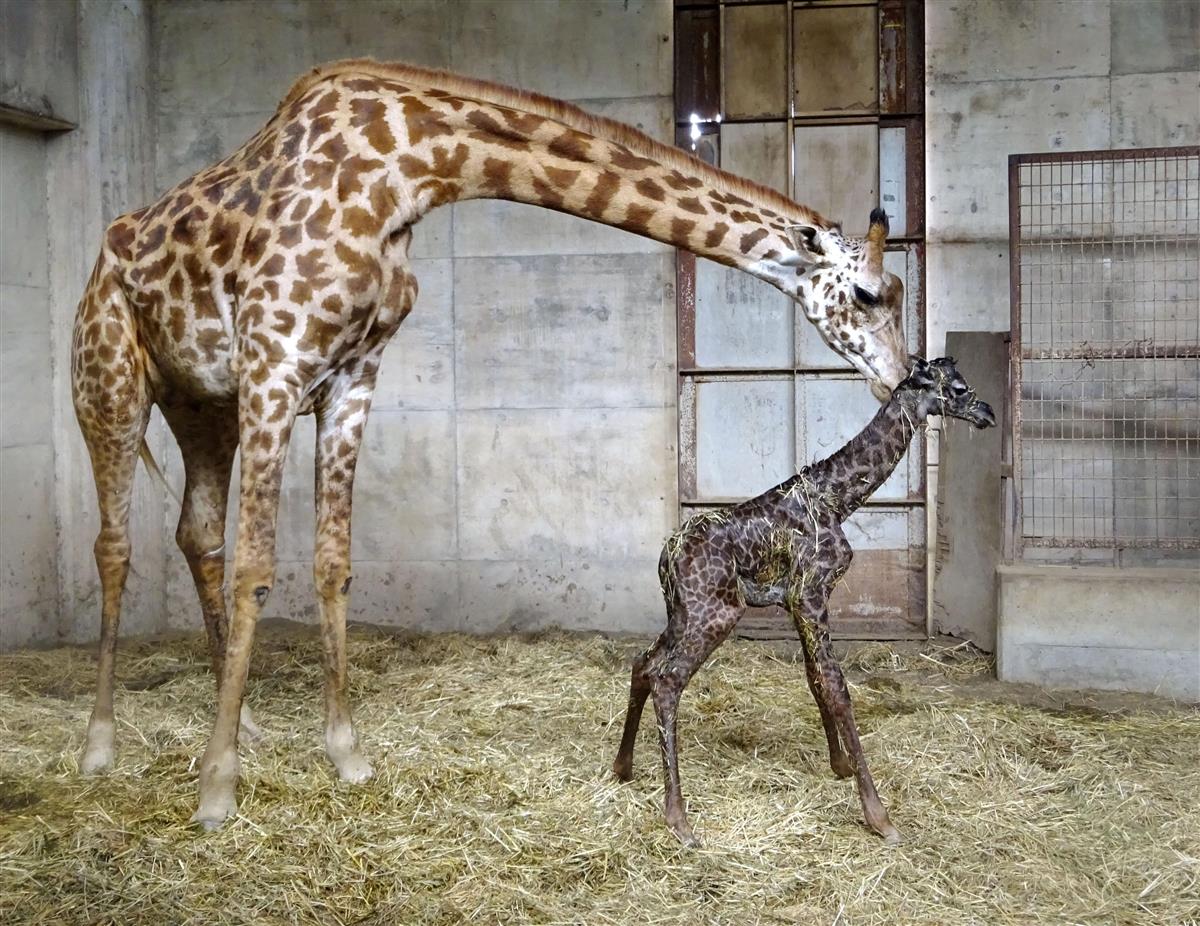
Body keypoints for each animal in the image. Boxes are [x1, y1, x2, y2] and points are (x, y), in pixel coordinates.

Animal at [75, 57, 907, 830]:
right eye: (872, 295)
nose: (899, 376)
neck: (406, 170)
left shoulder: (352, 377)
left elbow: (333, 564)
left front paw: (344, 754)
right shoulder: (274, 362)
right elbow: (256, 570)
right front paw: (217, 789)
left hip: (198, 402)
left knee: (196, 531)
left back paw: (240, 718)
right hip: (110, 379)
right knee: (116, 547)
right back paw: (102, 743)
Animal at [609, 357, 993, 844]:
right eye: (959, 388)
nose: (988, 413)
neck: (838, 498)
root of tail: (667, 557)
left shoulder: (794, 601)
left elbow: (815, 679)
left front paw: (840, 764)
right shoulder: (811, 592)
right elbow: (837, 687)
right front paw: (879, 816)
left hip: (682, 612)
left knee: (643, 662)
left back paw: (622, 767)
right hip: (715, 613)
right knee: (667, 679)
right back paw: (679, 819)